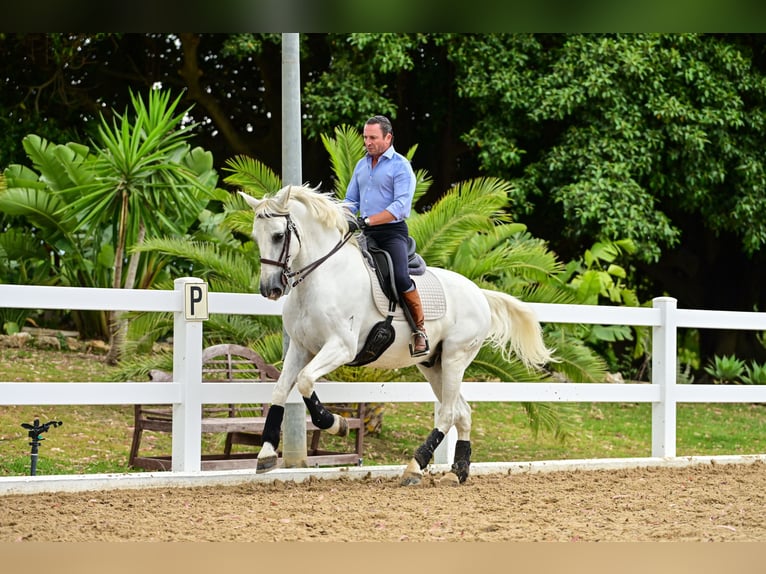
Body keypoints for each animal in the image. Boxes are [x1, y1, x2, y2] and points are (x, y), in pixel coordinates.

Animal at [242, 187, 552, 488]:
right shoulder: (299, 347)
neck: (325, 276)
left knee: (448, 413)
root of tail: (478, 293)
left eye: (278, 235)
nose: (269, 289)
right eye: (256, 237)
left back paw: (415, 467)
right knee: (462, 412)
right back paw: (457, 472)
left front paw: (336, 423)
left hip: (455, 358)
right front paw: (266, 454)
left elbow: (305, 381)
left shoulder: (341, 347)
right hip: (433, 365)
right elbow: (280, 390)